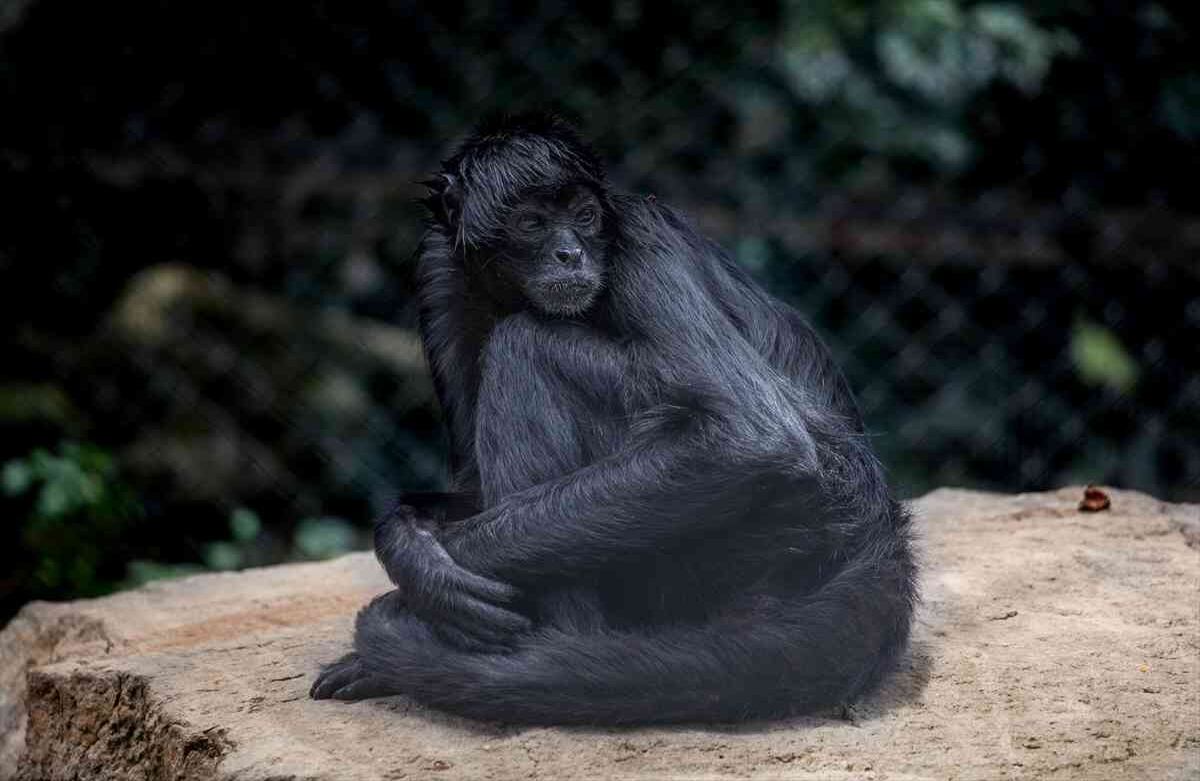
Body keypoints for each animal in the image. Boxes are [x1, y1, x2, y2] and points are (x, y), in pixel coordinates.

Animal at [310, 113, 917, 725]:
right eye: (531, 223)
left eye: (583, 218)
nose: (570, 255)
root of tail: (875, 524)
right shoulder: (441, 268)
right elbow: (473, 485)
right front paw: (406, 544)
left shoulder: (640, 237)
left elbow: (749, 438)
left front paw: (418, 577)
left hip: (758, 532)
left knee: (525, 343)